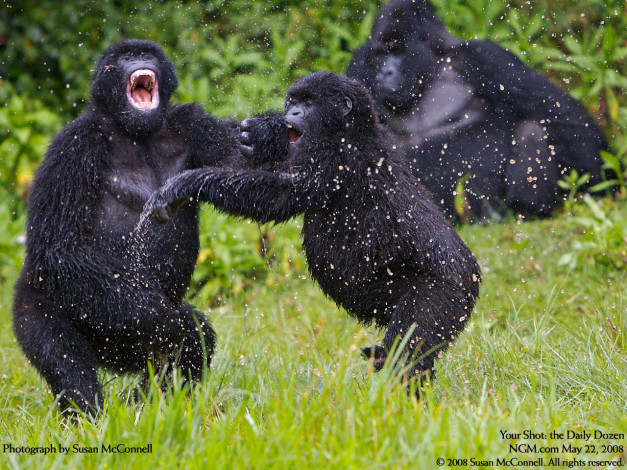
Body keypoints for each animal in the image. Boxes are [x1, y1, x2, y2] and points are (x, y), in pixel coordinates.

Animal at [12, 40, 243, 414]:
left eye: (146, 54)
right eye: (124, 59)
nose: (139, 60)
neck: (132, 131)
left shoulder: (193, 123)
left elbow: (245, 165)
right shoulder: (73, 147)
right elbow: (59, 249)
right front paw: (164, 316)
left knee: (191, 348)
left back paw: (148, 407)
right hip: (34, 297)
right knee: (63, 356)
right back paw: (88, 417)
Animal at [346, 0, 612, 222]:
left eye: (398, 52)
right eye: (381, 54)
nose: (385, 73)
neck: (431, 65)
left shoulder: (483, 57)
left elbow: (562, 115)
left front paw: (603, 185)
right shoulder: (360, 63)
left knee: (532, 130)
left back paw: (526, 211)